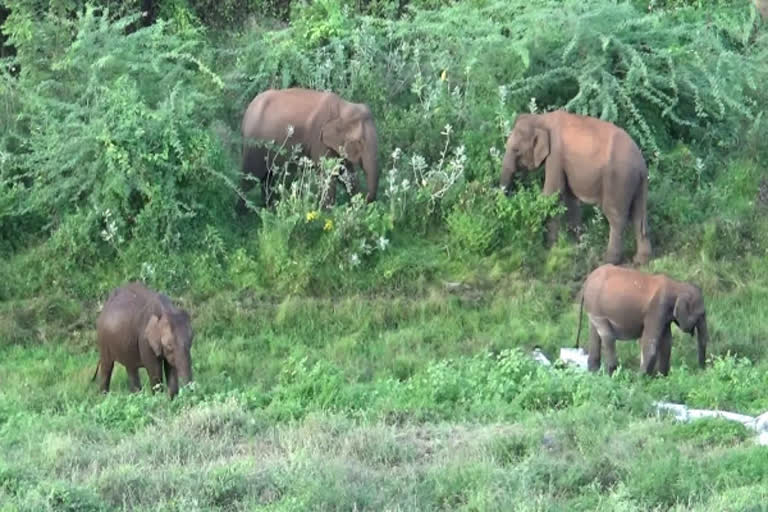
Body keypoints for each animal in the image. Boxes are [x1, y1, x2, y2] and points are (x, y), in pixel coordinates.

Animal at [234, 87, 378, 211]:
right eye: (359, 142)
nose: (366, 201)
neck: (344, 107)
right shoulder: (318, 140)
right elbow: (329, 174)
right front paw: (326, 214)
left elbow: (345, 173)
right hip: (253, 143)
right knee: (250, 177)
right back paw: (242, 213)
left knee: (267, 177)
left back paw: (269, 209)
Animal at [498, 110, 656, 266]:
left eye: (516, 150)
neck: (541, 118)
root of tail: (642, 166)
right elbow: (570, 199)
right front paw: (575, 246)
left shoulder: (555, 155)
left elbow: (553, 193)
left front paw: (550, 248)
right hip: (636, 184)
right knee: (638, 216)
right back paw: (641, 261)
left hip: (618, 179)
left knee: (616, 216)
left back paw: (608, 261)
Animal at [576, 264, 708, 376]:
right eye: (701, 314)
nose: (701, 370)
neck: (677, 285)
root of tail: (587, 281)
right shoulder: (657, 308)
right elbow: (650, 341)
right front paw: (641, 379)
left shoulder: (664, 315)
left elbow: (666, 342)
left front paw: (662, 377)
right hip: (596, 308)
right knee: (607, 335)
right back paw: (613, 372)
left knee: (595, 334)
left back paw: (594, 373)